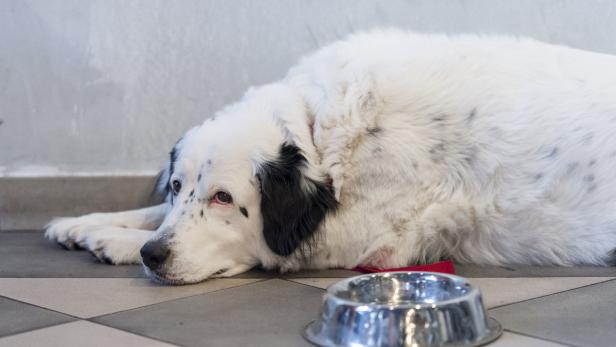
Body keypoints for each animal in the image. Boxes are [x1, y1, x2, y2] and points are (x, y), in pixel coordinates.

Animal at [44, 29, 616, 286]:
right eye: (179, 186)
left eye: (225, 198)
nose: (154, 256)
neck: (322, 128)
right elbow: (153, 213)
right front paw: (85, 222)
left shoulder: (363, 238)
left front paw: (116, 242)